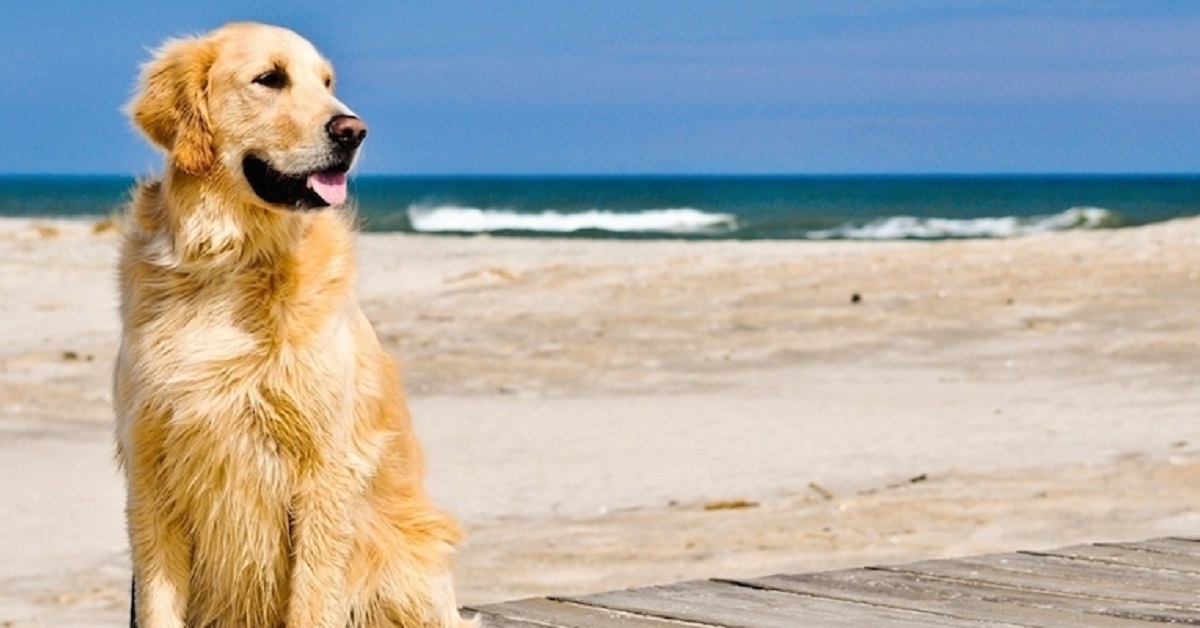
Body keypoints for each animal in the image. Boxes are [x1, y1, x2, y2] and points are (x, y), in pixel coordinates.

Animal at [114, 22, 475, 624]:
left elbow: (311, 599)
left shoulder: (324, 472)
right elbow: (158, 604)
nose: (354, 130)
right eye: (270, 78)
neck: (230, 263)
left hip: (403, 563)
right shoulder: (150, 467)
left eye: (327, 82)